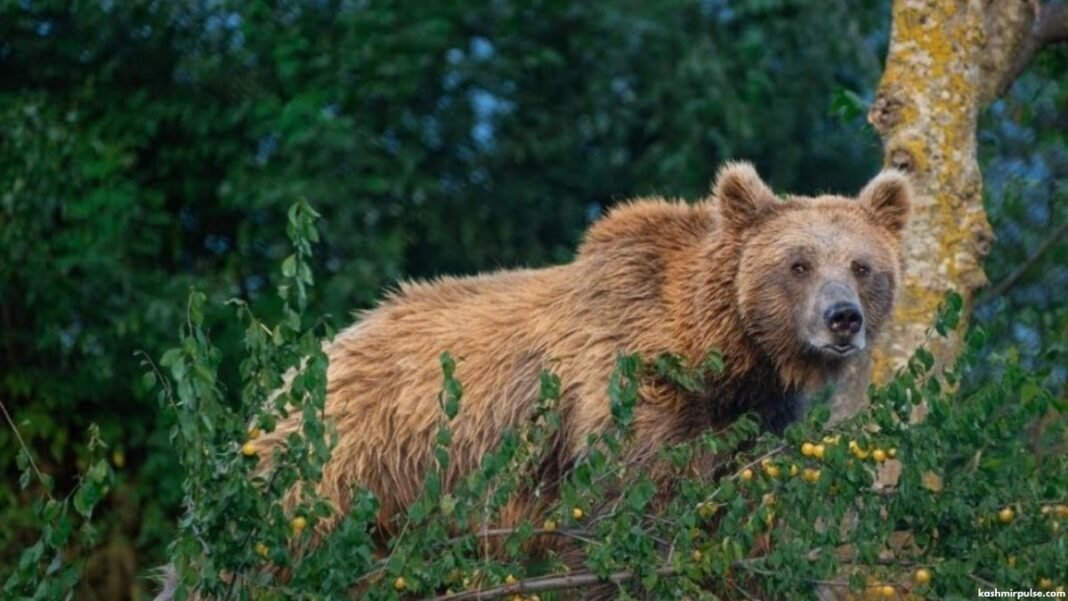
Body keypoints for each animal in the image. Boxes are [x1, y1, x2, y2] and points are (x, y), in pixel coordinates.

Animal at [154, 162, 911, 599]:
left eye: (863, 265)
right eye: (798, 263)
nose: (842, 319)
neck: (716, 353)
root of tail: (303, 369)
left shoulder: (749, 426)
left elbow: (739, 522)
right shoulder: (622, 399)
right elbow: (622, 516)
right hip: (335, 470)